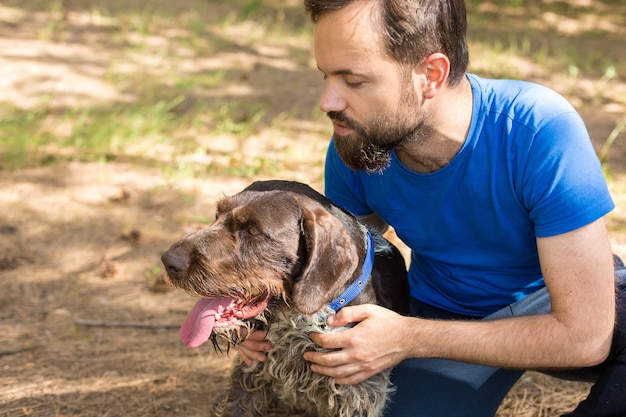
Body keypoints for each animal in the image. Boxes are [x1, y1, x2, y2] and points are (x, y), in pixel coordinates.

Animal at [158, 180, 408, 416]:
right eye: (217, 215)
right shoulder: (251, 373)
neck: (298, 319)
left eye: (253, 231)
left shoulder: (355, 393)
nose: (169, 261)